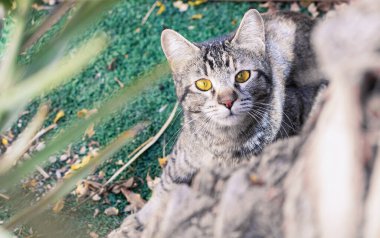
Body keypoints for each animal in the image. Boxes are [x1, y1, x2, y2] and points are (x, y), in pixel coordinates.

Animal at [108, 8, 326, 237]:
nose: (227, 101)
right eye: (203, 84)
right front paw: (136, 223)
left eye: (243, 75)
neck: (221, 141)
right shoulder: (182, 155)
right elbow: (166, 185)